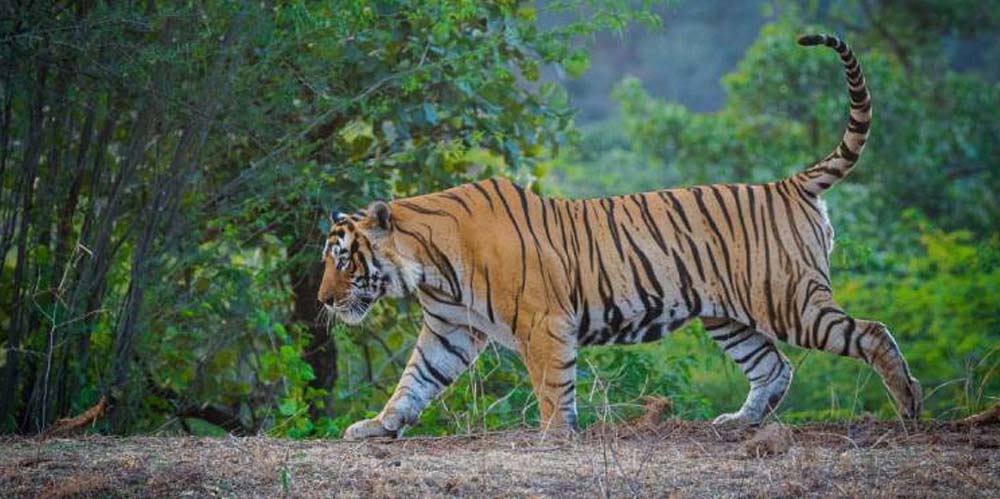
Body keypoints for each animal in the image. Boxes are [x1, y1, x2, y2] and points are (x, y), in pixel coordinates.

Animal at [318, 34, 922, 440]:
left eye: (344, 260)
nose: (323, 300)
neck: (429, 267)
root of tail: (787, 183)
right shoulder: (450, 329)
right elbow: (413, 382)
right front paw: (376, 427)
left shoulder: (543, 322)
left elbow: (552, 384)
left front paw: (555, 437)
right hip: (728, 315)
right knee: (775, 367)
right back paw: (737, 423)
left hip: (789, 299)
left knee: (872, 334)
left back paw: (909, 408)